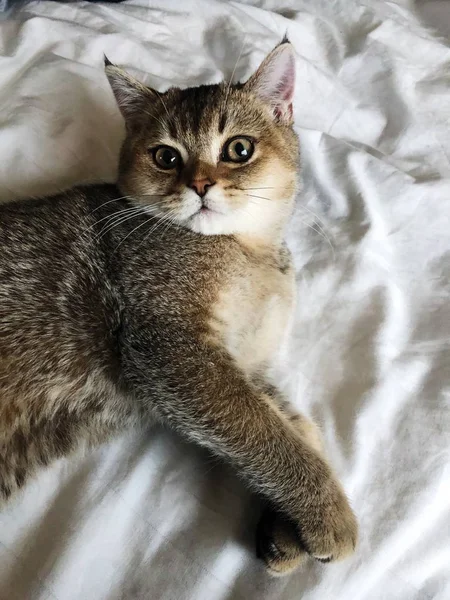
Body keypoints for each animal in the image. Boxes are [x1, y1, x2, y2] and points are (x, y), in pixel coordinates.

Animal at [0, 41, 358, 576]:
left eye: (239, 149)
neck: (249, 252)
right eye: (166, 157)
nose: (201, 185)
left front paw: (285, 530)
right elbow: (265, 432)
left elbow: (297, 424)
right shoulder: (173, 346)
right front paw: (329, 512)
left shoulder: (249, 363)